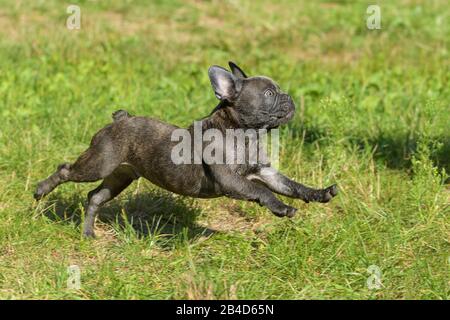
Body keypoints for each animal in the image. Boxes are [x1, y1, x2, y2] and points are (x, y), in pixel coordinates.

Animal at [35, 62, 338, 238]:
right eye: (269, 94)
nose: (288, 96)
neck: (245, 134)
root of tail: (121, 119)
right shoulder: (231, 181)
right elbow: (262, 192)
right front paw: (280, 208)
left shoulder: (265, 173)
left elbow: (292, 186)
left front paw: (319, 194)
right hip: (98, 163)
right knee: (65, 171)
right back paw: (41, 190)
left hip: (120, 176)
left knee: (95, 196)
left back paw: (87, 232)